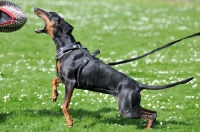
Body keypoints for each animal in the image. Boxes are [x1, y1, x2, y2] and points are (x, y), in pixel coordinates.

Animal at [34, 7, 194, 129]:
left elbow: (64, 105)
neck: (68, 48)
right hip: (132, 105)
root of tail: (138, 85)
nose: (35, 8)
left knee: (150, 115)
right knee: (153, 113)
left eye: (50, 13)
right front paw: (54, 95)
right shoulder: (65, 79)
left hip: (127, 109)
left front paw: (69, 122)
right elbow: (54, 80)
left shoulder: (71, 82)